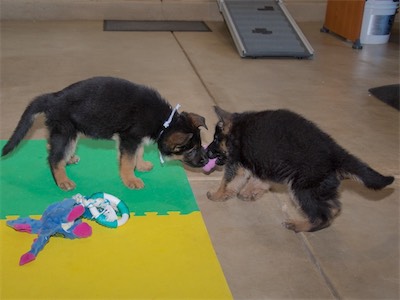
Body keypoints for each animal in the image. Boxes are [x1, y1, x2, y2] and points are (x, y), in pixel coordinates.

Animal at [1, 76, 209, 191]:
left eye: (200, 146)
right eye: (190, 150)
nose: (206, 160)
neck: (164, 122)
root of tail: (54, 97)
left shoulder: (135, 139)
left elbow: (138, 153)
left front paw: (140, 165)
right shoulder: (129, 138)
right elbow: (127, 162)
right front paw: (130, 179)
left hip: (68, 132)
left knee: (52, 147)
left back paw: (69, 159)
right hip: (66, 131)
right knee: (54, 158)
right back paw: (62, 180)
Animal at [206, 106, 394, 233]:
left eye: (215, 139)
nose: (206, 152)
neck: (238, 128)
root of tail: (337, 154)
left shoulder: (236, 161)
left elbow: (227, 181)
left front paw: (217, 194)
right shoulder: (261, 163)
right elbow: (258, 179)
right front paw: (250, 192)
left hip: (302, 188)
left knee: (322, 215)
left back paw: (299, 225)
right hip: (319, 188)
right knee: (334, 207)